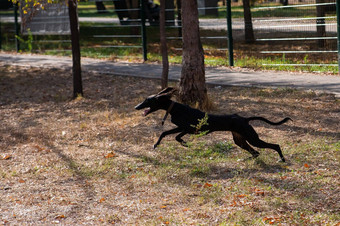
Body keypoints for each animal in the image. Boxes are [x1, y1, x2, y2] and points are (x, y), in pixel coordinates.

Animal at [135, 87, 292, 162]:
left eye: (147, 100)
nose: (136, 107)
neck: (175, 108)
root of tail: (245, 119)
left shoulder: (187, 128)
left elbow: (173, 136)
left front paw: (183, 143)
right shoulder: (184, 128)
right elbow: (166, 134)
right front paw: (157, 144)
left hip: (252, 138)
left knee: (274, 146)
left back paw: (282, 160)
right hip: (239, 140)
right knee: (256, 152)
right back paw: (246, 159)